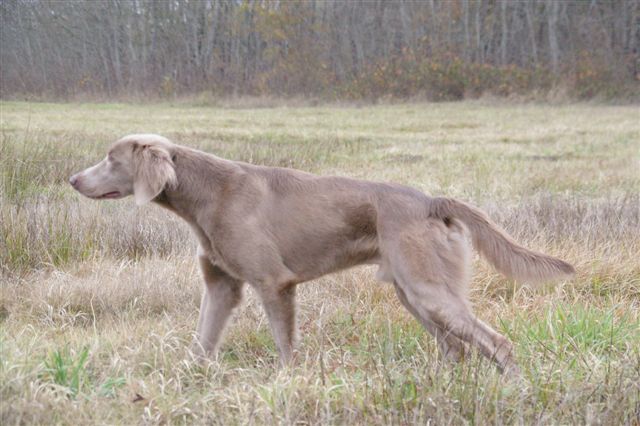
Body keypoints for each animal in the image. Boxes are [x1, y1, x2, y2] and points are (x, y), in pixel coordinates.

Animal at [70, 134, 575, 374]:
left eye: (111, 159)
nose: (73, 179)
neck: (208, 194)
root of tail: (432, 201)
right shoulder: (221, 287)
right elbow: (201, 342)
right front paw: (187, 380)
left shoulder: (274, 283)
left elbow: (285, 346)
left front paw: (286, 382)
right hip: (414, 293)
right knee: (457, 347)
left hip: (427, 288)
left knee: (497, 343)